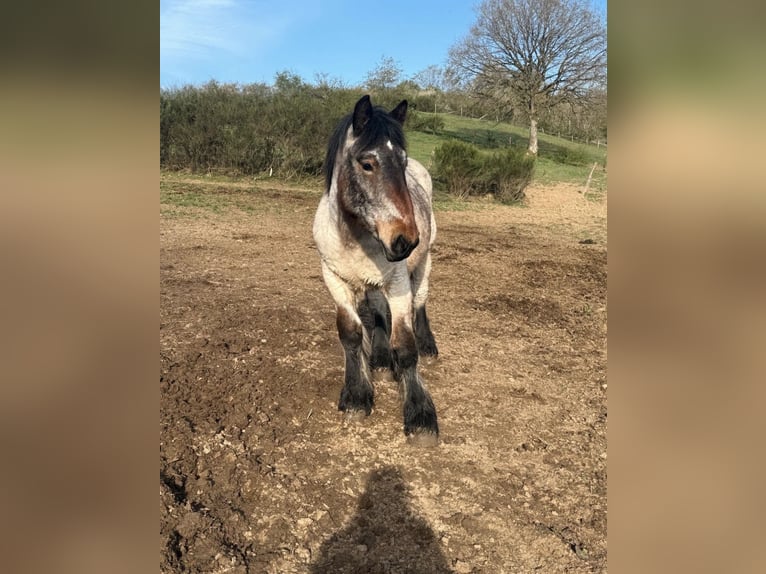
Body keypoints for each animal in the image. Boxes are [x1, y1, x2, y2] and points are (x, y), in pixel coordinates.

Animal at [312, 95, 440, 446]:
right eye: (367, 164)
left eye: (402, 162)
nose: (405, 239)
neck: (356, 238)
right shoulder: (335, 279)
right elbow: (351, 333)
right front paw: (357, 394)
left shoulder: (398, 283)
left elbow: (406, 347)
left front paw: (420, 414)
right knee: (378, 309)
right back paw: (381, 360)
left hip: (422, 266)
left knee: (421, 302)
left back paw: (428, 344)